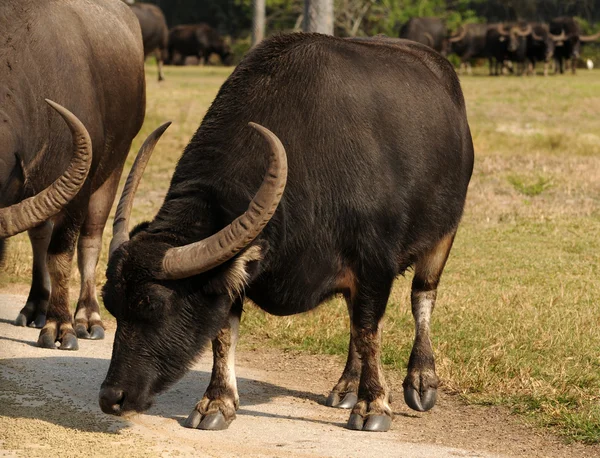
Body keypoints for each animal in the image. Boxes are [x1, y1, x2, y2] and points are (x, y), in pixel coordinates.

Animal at [0, 0, 145, 350]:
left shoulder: (78, 187)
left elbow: (62, 254)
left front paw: (60, 326)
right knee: (39, 236)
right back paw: (35, 307)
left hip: (115, 163)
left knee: (90, 238)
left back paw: (87, 318)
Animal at [98, 34, 474, 434]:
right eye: (112, 305)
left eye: (153, 305)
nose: (111, 398)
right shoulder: (235, 271)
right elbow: (222, 335)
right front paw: (217, 402)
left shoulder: (375, 265)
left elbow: (369, 330)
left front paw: (373, 405)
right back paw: (346, 386)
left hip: (444, 234)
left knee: (422, 296)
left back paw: (420, 380)